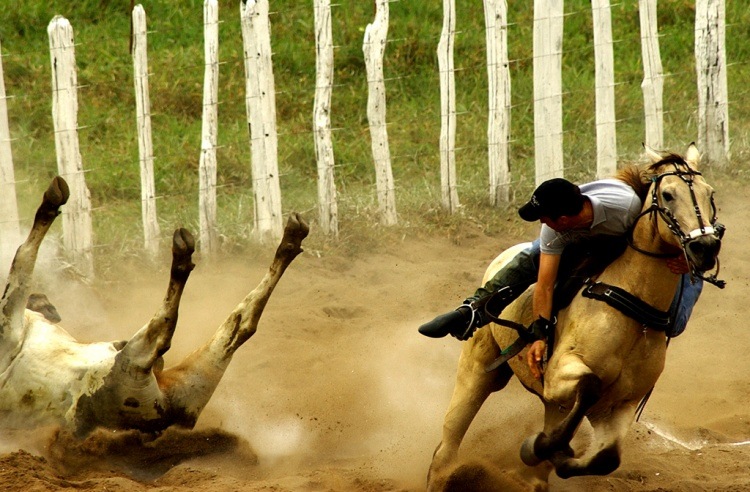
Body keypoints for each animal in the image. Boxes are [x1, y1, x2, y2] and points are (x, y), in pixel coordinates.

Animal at [0, 175, 310, 436]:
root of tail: (167, 416)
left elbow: (22, 260)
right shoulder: (9, 326)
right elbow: (22, 260)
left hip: (182, 373)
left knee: (237, 322)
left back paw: (290, 237)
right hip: (134, 367)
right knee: (171, 331)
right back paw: (185, 254)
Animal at [426, 144, 724, 490]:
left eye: (709, 193)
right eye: (667, 194)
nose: (705, 246)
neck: (631, 309)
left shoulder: (620, 404)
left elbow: (605, 458)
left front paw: (549, 453)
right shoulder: (559, 375)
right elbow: (590, 385)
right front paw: (537, 447)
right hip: (477, 369)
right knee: (448, 440)